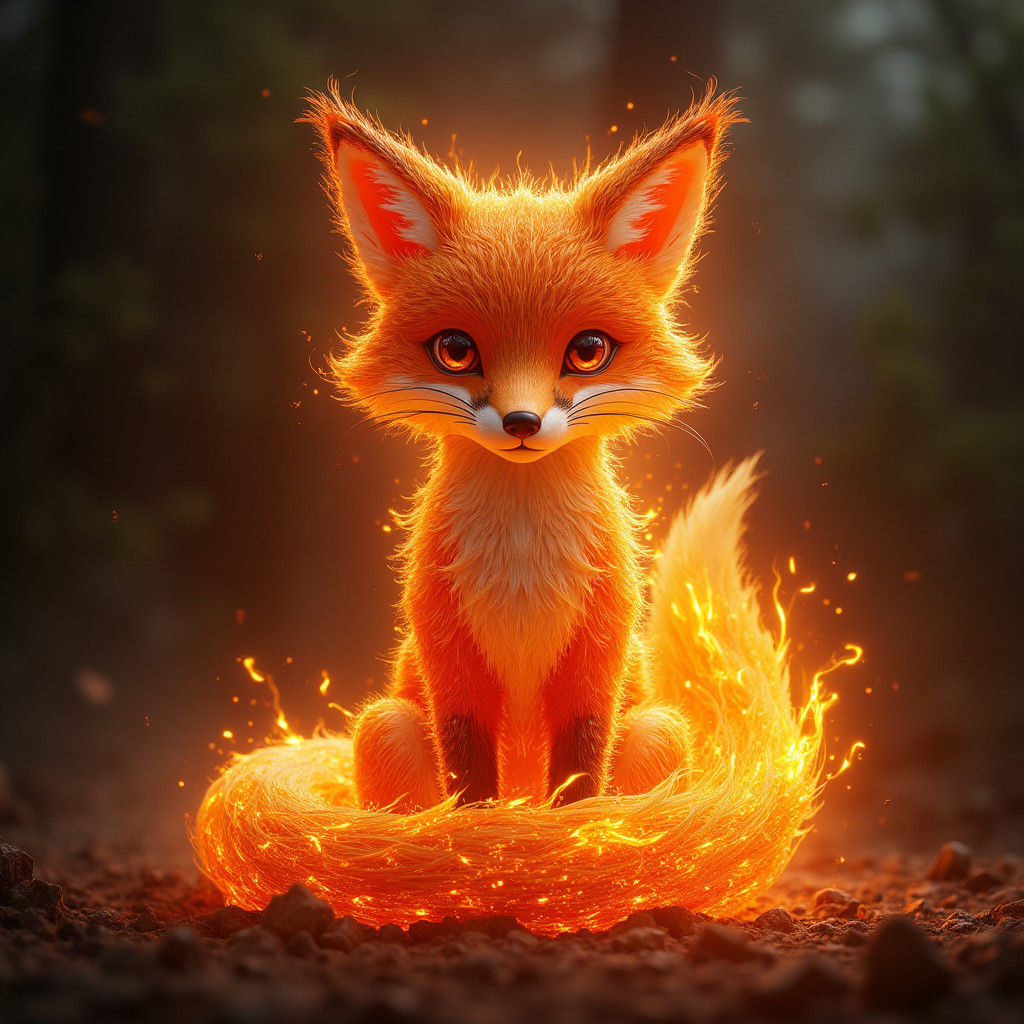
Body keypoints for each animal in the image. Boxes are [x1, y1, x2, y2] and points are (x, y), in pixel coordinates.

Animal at [303, 85, 743, 811]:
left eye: (587, 351)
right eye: (456, 350)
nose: (521, 422)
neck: (521, 569)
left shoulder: (598, 652)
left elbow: (580, 774)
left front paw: (576, 828)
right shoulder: (448, 653)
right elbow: (468, 780)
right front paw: (482, 829)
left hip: (657, 734)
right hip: (384, 727)